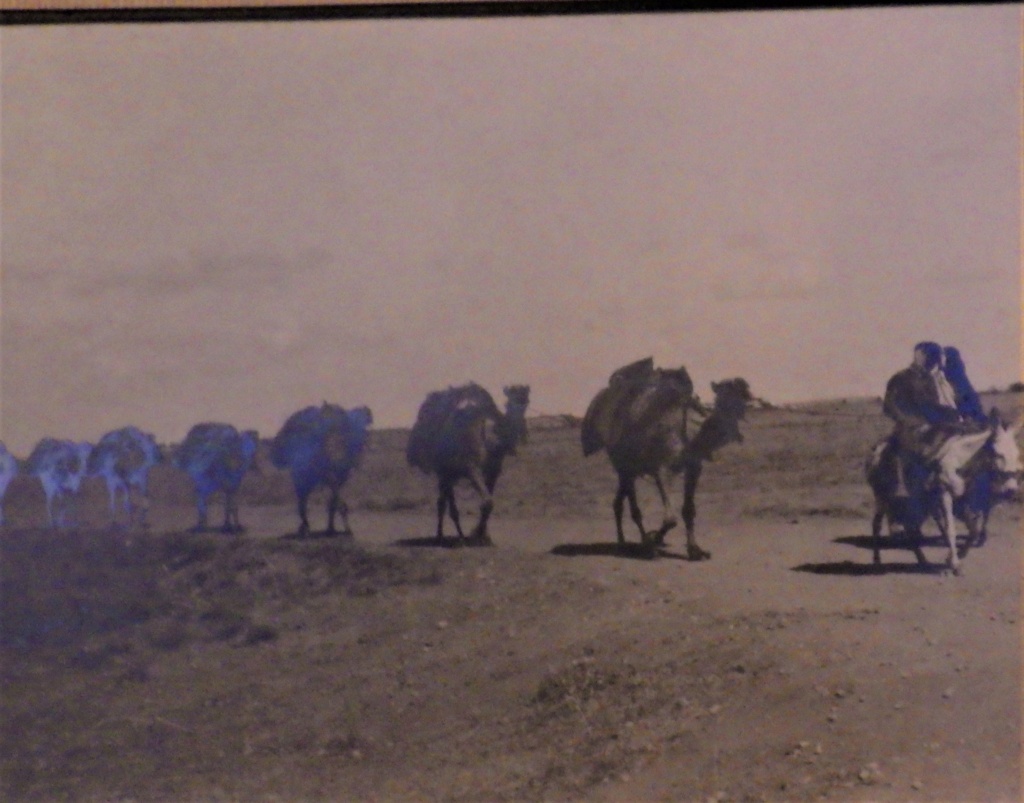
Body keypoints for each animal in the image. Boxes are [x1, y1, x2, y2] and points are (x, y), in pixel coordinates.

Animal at [272, 401, 372, 540]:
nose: (369, 416)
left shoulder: (339, 476)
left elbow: (333, 502)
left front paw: (332, 529)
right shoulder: (329, 475)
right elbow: (336, 502)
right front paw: (344, 529)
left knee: (304, 499)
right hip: (302, 475)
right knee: (302, 501)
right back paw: (305, 528)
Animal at [405, 383, 532, 544]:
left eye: (526, 398)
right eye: (509, 399)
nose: (522, 400)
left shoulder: (493, 469)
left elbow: (488, 502)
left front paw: (483, 535)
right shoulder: (469, 468)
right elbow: (487, 501)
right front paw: (476, 534)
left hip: (449, 472)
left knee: (444, 500)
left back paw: (452, 535)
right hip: (445, 470)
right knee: (444, 503)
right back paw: (446, 536)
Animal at [585, 360, 753, 561]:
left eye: (743, 396)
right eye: (722, 393)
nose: (746, 392)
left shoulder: (693, 467)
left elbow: (688, 511)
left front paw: (695, 550)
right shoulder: (661, 468)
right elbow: (670, 519)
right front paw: (654, 539)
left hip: (630, 470)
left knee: (618, 501)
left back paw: (625, 543)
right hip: (622, 464)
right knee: (633, 508)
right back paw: (639, 546)